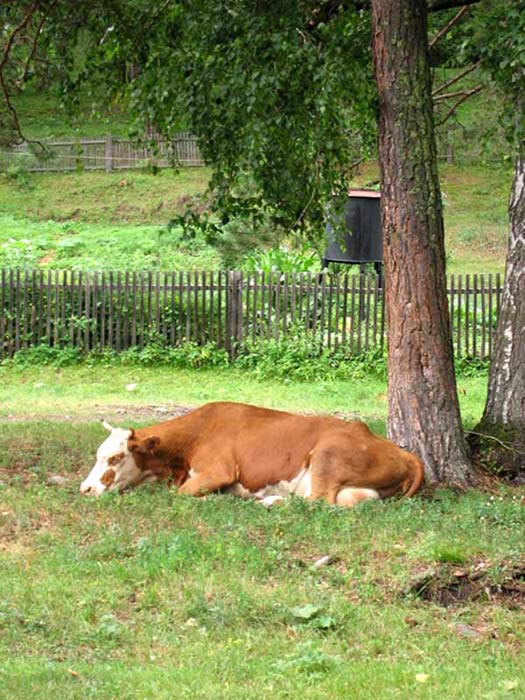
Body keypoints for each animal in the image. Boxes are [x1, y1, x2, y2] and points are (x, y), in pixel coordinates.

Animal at [80, 401, 424, 506]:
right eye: (98, 454)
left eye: (116, 458)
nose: (85, 489)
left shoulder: (217, 470)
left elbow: (181, 494)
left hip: (328, 455)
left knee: (317, 502)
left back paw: (267, 501)